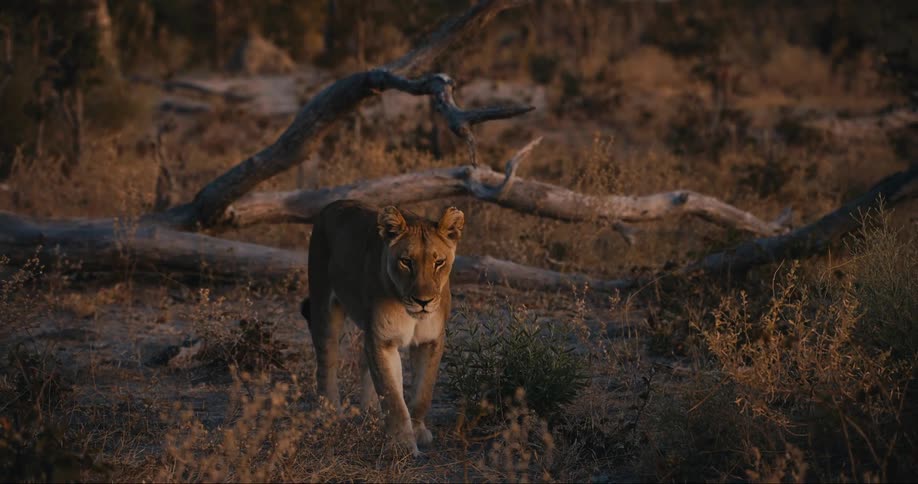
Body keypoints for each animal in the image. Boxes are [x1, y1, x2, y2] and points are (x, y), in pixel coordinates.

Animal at [299, 200, 464, 455]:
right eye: (406, 261)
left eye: (439, 262)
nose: (424, 302)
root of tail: (333, 204)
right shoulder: (382, 340)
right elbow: (393, 398)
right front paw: (402, 444)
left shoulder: (430, 341)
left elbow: (422, 392)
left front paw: (418, 431)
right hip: (324, 307)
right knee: (326, 363)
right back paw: (330, 412)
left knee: (364, 362)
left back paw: (371, 412)